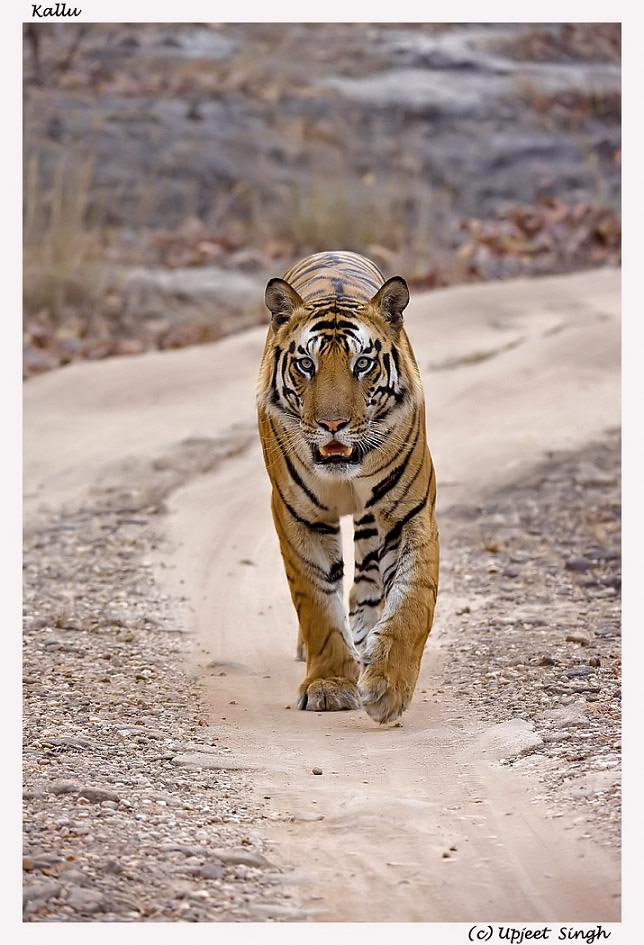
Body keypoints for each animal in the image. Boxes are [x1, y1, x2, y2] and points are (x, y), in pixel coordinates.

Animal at [256, 250, 439, 724]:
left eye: (362, 364)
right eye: (306, 364)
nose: (332, 424)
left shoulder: (410, 512)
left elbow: (413, 599)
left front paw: (388, 685)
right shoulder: (298, 515)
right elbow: (317, 604)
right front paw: (330, 684)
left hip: (375, 521)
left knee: (369, 582)